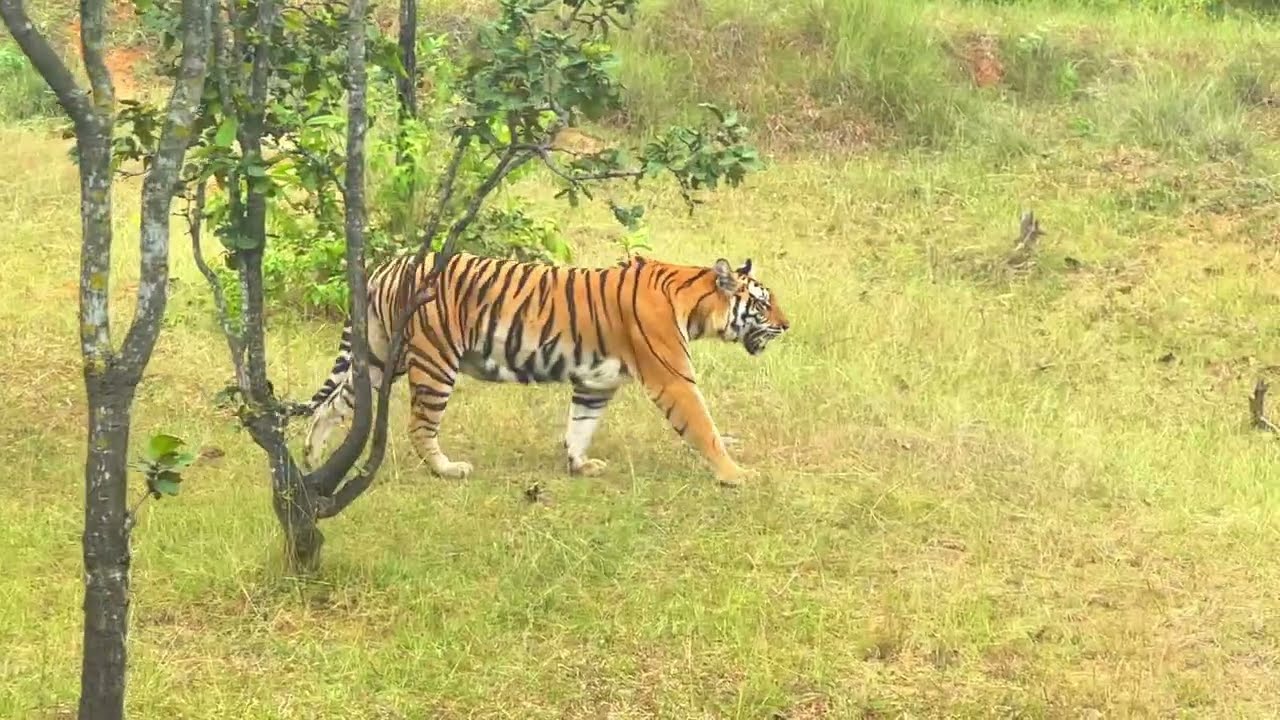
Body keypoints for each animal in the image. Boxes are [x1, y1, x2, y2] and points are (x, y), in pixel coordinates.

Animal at [298, 251, 790, 486]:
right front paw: (736, 475)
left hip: (380, 355)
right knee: (420, 425)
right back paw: (447, 469)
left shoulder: (595, 382)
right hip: (434, 361)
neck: (693, 303)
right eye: (763, 303)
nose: (788, 325)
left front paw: (579, 465)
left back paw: (312, 465)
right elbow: (704, 428)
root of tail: (390, 263)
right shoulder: (673, 378)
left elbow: (580, 425)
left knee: (331, 407)